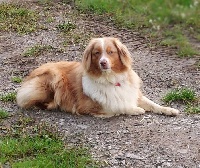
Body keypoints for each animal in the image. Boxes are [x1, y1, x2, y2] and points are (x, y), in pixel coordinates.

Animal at [16, 37, 180, 117]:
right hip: (54, 78)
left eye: (111, 52)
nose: (103, 62)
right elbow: (117, 107)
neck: (112, 79)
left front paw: (169, 110)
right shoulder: (89, 106)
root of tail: (31, 73)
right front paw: (136, 110)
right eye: (96, 53)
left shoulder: (133, 93)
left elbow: (153, 104)